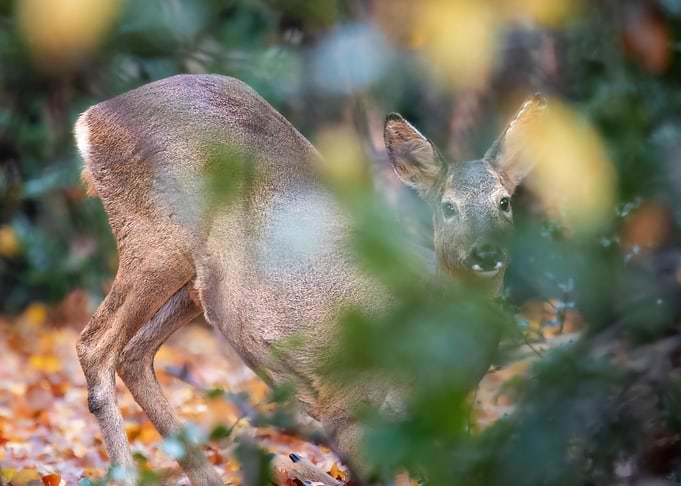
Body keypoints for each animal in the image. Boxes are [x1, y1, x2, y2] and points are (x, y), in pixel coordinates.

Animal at [74, 74, 544, 485]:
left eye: (504, 202)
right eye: (448, 207)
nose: (486, 252)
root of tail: (91, 118)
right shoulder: (348, 410)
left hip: (194, 282)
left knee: (133, 353)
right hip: (156, 242)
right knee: (95, 345)